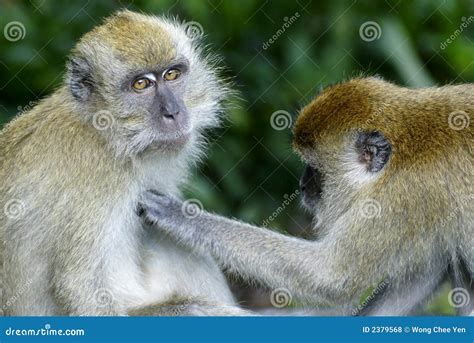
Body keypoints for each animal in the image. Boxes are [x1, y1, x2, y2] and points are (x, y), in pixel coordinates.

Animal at [0, 10, 252, 318]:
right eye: (141, 84)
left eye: (172, 74)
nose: (173, 112)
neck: (105, 130)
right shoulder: (99, 174)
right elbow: (80, 285)